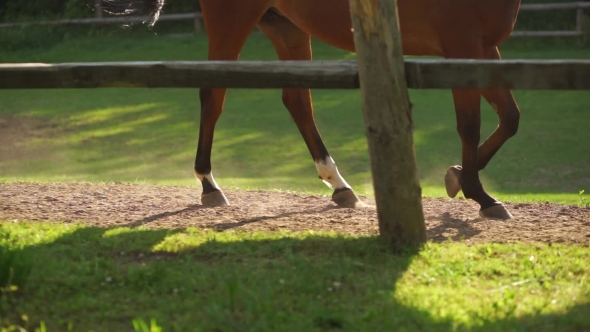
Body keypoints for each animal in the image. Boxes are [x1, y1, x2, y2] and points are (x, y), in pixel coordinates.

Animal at [105, 0, 524, 219]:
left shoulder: (485, 49)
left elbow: (510, 118)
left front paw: (458, 177)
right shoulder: (462, 45)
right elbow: (470, 125)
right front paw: (480, 195)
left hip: (286, 27)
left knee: (297, 101)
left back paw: (339, 185)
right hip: (232, 21)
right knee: (213, 94)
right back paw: (210, 186)